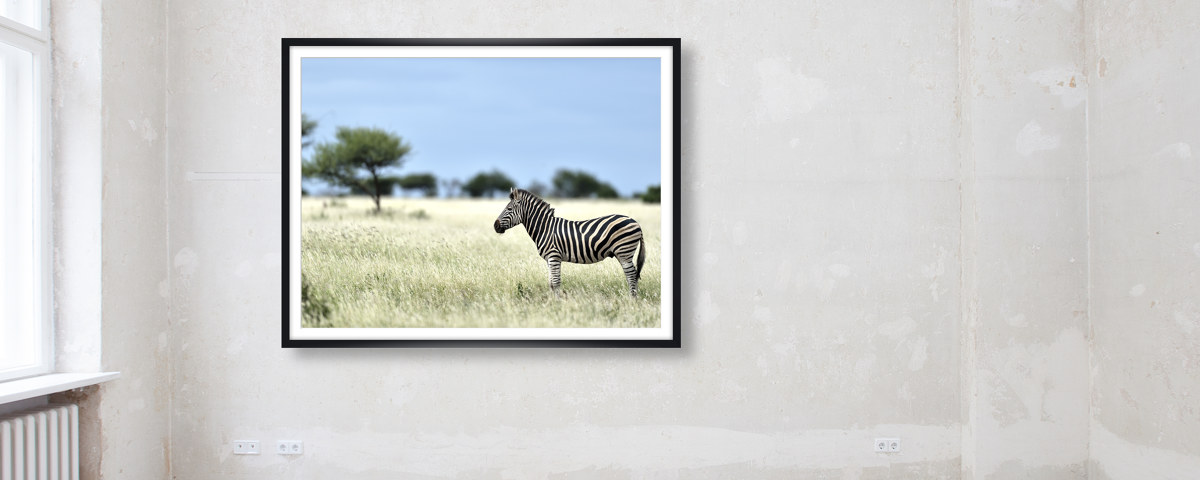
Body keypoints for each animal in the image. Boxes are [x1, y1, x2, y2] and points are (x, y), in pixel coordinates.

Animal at [493, 188, 646, 298]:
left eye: (509, 209)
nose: (495, 226)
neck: (545, 229)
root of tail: (635, 222)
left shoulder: (554, 256)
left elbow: (555, 283)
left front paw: (557, 304)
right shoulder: (549, 259)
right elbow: (550, 283)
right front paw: (553, 302)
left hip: (624, 251)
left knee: (631, 276)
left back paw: (632, 300)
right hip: (622, 253)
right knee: (632, 275)